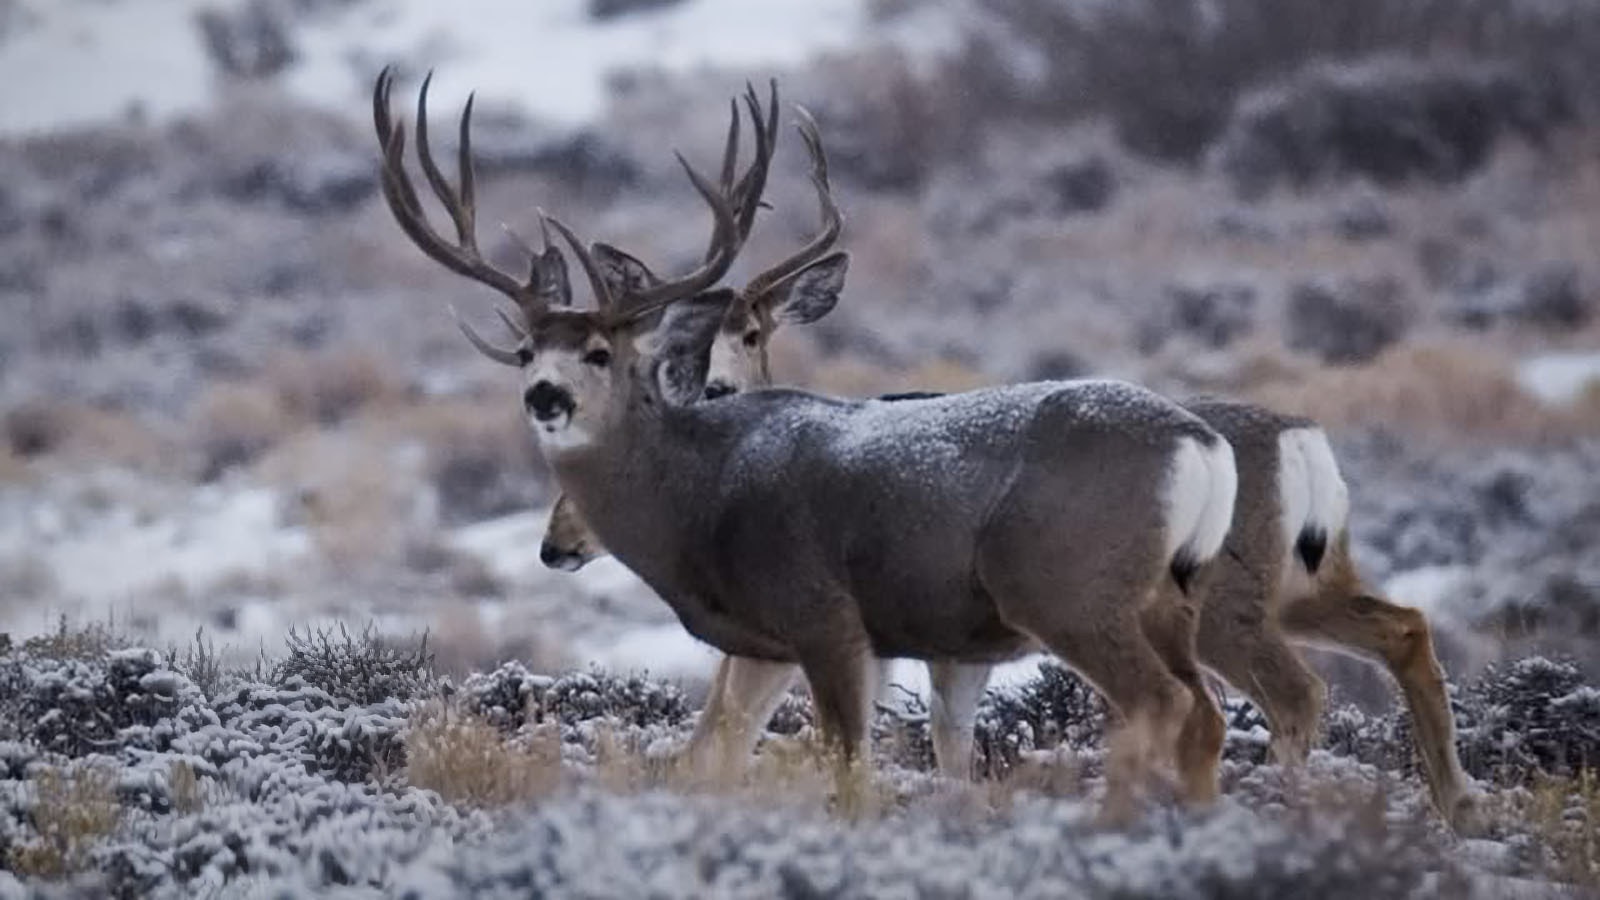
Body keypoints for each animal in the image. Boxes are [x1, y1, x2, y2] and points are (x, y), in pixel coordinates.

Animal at [372, 67, 1240, 821]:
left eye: (600, 353)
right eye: (526, 351)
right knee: (1207, 713)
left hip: (1068, 586)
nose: (544, 396)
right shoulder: (768, 645)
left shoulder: (823, 616)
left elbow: (848, 768)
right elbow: (724, 754)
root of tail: (1197, 442)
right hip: (1168, 597)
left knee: (1161, 704)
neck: (695, 498)